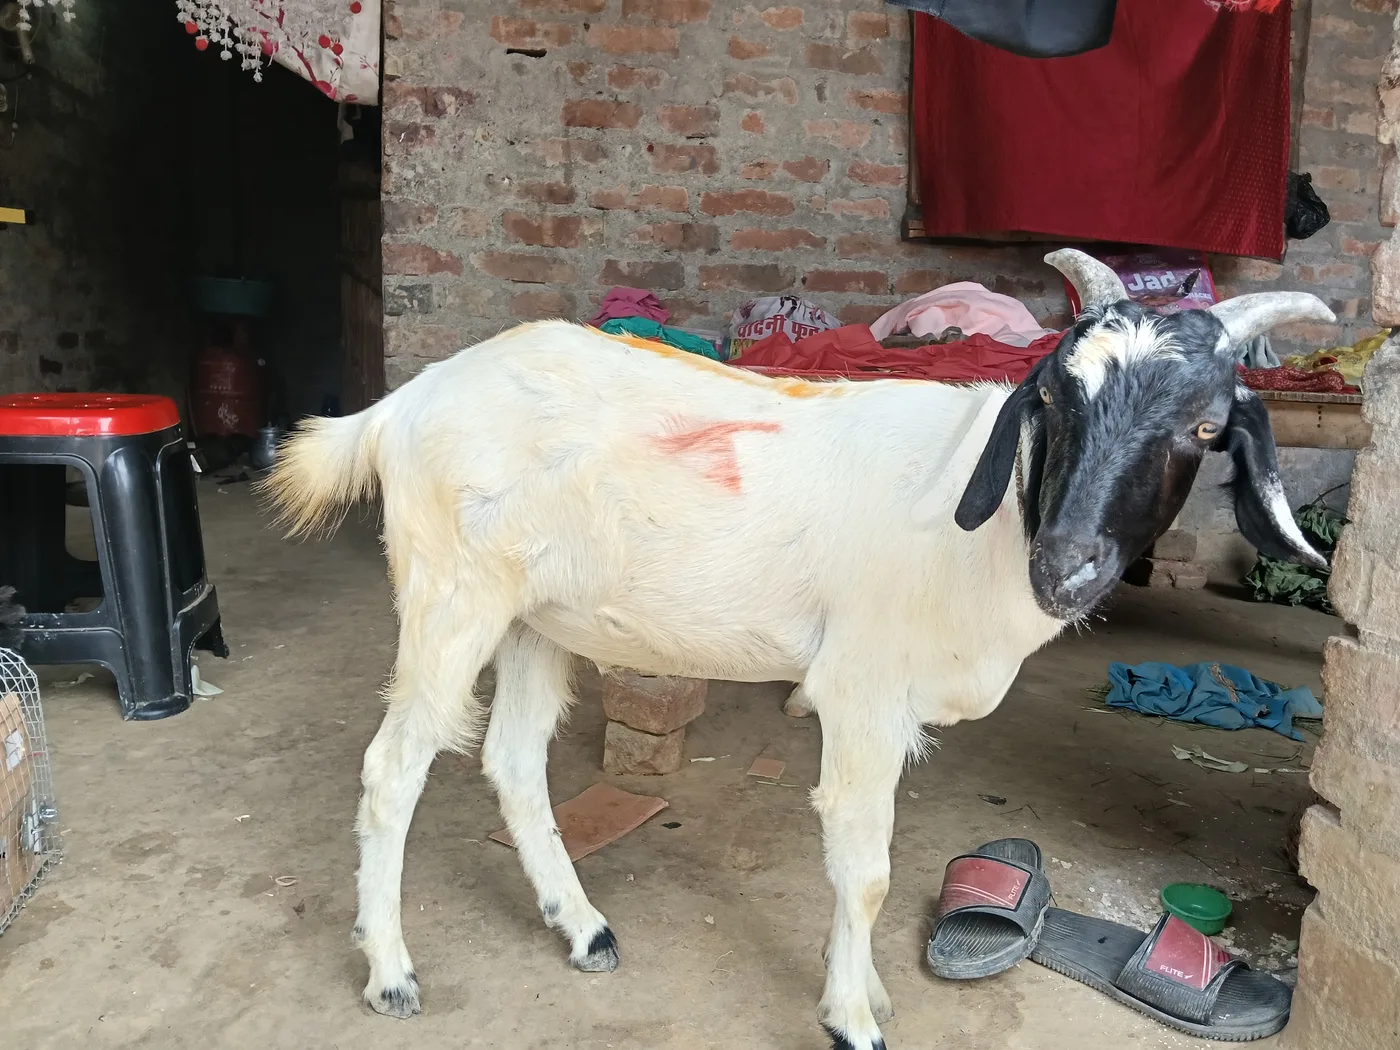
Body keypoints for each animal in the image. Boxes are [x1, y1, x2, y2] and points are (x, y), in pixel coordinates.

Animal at [263, 250, 1328, 1050]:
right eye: (1059, 402)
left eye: (1203, 425)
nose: (1064, 567)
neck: (979, 531)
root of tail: (403, 405)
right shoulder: (862, 689)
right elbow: (865, 865)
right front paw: (853, 1017)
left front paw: (865, 994)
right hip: (452, 596)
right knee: (392, 770)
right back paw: (391, 973)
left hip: (536, 617)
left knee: (513, 761)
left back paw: (583, 927)